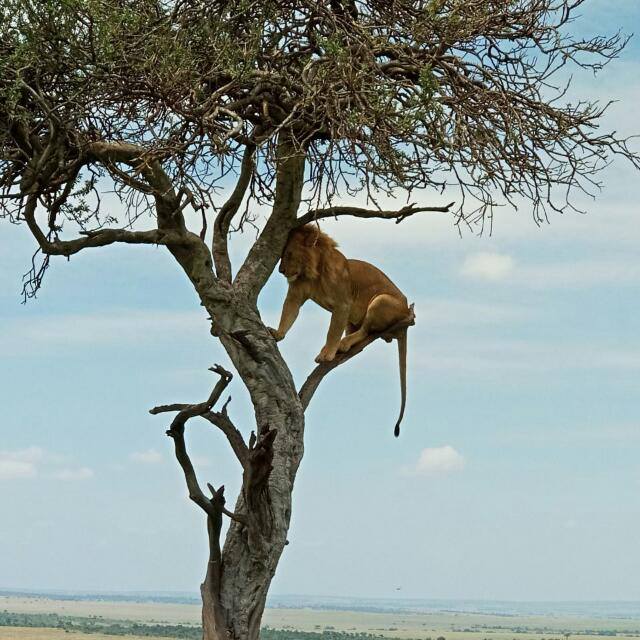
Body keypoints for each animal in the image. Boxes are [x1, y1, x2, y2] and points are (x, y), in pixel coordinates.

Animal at [268, 222, 412, 438]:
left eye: (290, 254)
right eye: (281, 254)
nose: (281, 270)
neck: (313, 272)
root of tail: (406, 313)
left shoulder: (343, 304)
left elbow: (332, 331)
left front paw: (326, 355)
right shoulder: (296, 294)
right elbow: (288, 314)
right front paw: (278, 334)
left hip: (381, 300)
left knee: (365, 330)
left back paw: (343, 345)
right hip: (354, 319)